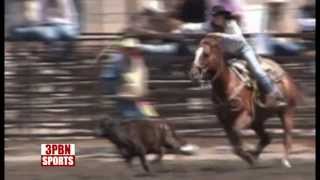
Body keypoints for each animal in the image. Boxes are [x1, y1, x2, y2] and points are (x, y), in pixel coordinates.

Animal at [190, 34, 302, 168]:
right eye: (195, 53)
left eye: (206, 54)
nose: (193, 73)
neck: (229, 84)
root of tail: (287, 77)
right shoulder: (224, 121)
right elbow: (234, 145)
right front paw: (249, 157)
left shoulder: (246, 116)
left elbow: (236, 134)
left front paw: (248, 155)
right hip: (257, 121)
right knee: (266, 138)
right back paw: (255, 155)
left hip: (286, 112)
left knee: (287, 137)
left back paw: (284, 161)